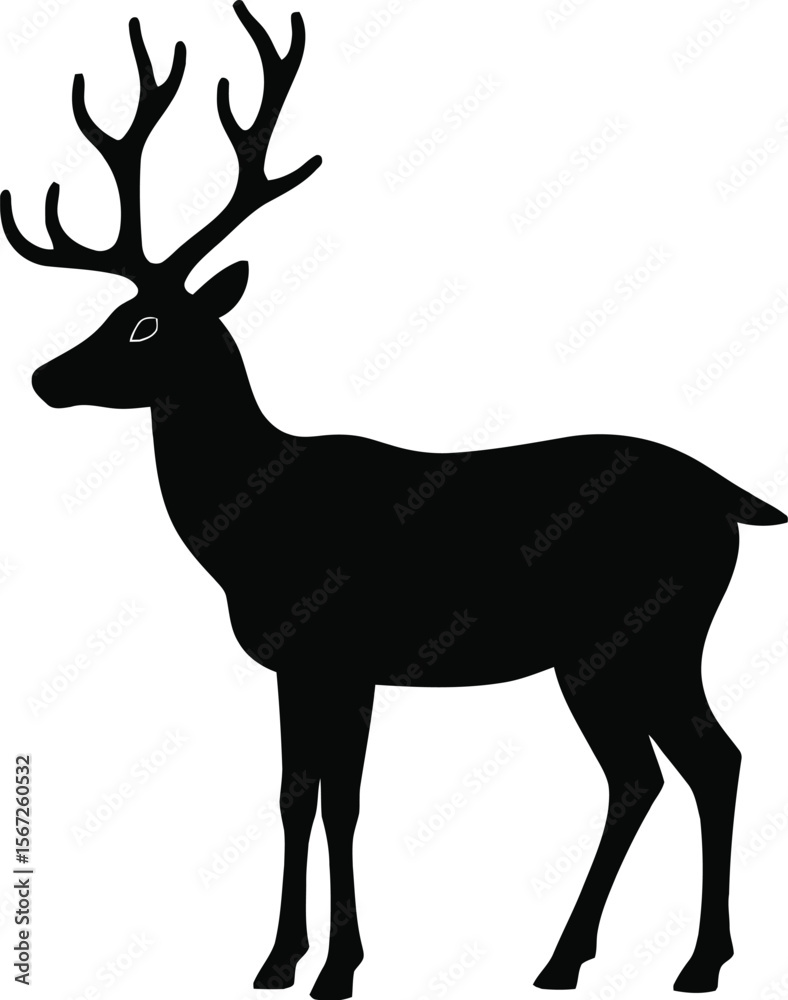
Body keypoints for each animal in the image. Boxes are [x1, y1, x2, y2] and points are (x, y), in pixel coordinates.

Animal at [2, 3, 785, 997]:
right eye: (110, 315)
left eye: (142, 323)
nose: (43, 377)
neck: (247, 535)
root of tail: (734, 498)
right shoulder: (299, 662)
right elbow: (295, 795)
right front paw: (278, 960)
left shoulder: (342, 652)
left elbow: (343, 802)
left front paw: (337, 967)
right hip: (638, 648)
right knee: (684, 766)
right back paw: (632, 957)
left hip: (632, 637)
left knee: (674, 766)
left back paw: (641, 960)